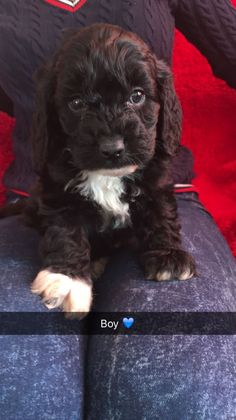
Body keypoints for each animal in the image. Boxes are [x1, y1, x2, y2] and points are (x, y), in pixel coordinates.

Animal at [21, 23, 195, 316]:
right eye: (76, 103)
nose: (112, 148)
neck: (107, 177)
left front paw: (168, 256)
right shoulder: (56, 190)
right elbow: (65, 229)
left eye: (137, 96)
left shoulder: (156, 180)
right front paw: (67, 277)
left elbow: (161, 213)